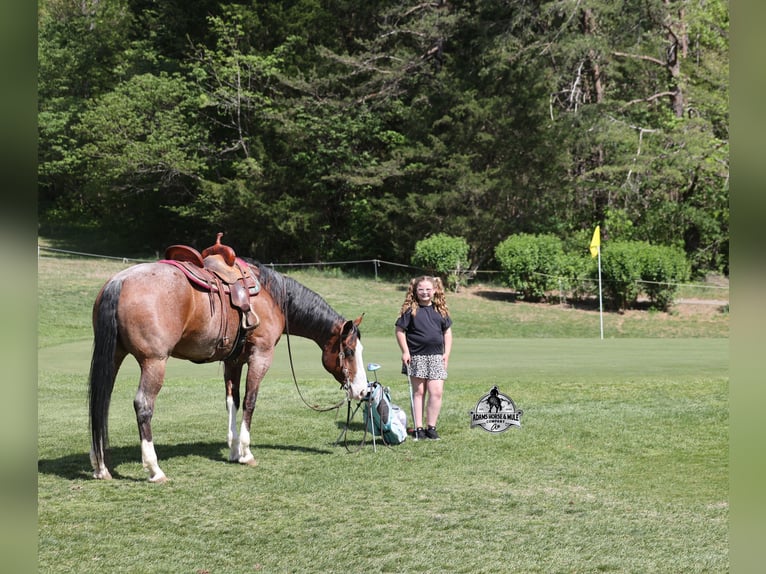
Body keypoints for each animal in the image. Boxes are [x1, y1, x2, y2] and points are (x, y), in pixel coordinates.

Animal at [88, 241, 368, 482]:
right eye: (350, 351)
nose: (363, 391)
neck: (271, 297)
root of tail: (120, 281)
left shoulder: (234, 360)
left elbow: (232, 401)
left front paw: (233, 451)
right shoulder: (260, 355)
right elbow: (250, 401)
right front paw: (246, 452)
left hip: (114, 356)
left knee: (101, 400)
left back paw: (101, 467)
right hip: (154, 362)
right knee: (143, 405)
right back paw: (154, 469)